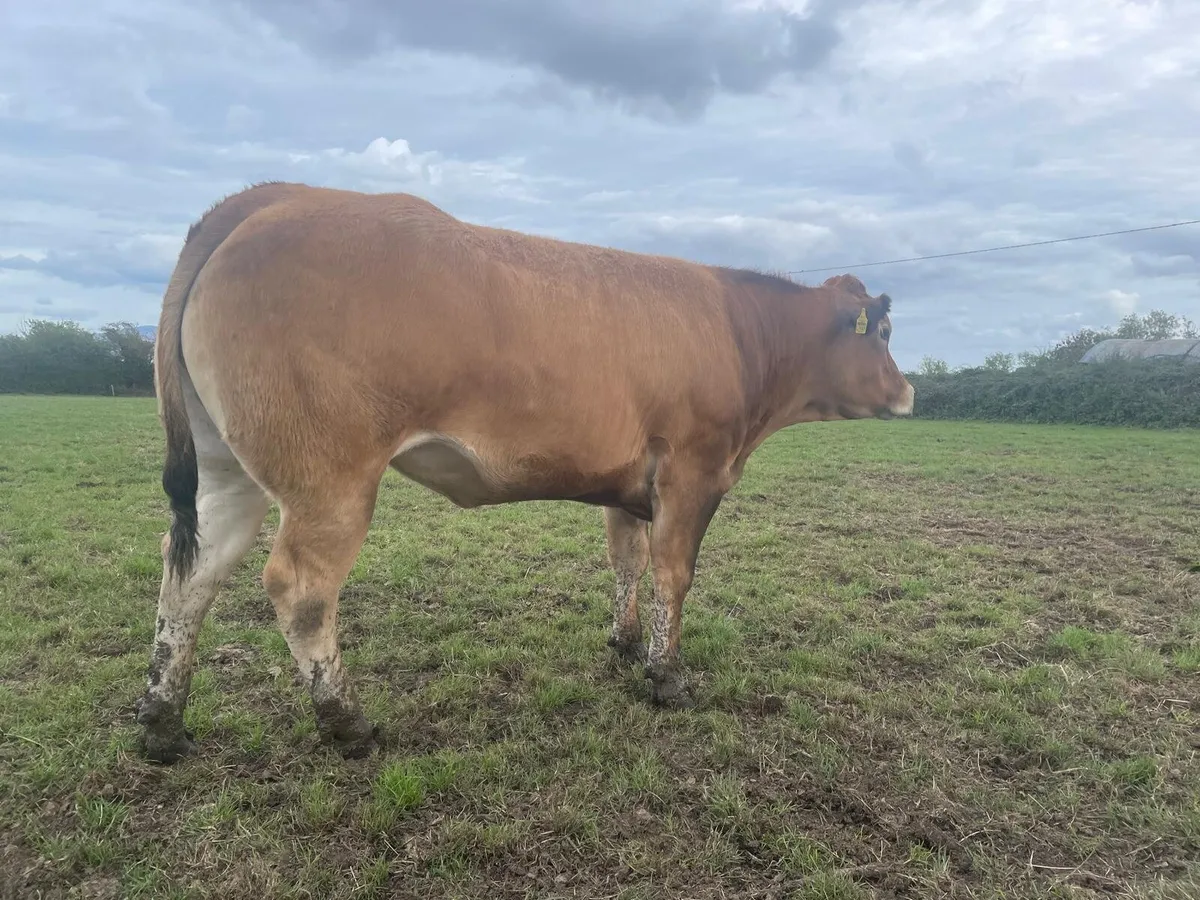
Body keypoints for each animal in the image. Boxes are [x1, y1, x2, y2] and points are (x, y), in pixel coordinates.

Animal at [135, 181, 914, 763]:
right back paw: (345, 719)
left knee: (190, 572)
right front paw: (666, 675)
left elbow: (627, 561)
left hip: (226, 469)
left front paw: (624, 642)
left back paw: (162, 721)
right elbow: (673, 573)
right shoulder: (694, 470)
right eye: (881, 332)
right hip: (331, 478)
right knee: (299, 589)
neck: (743, 331)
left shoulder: (630, 480)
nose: (909, 392)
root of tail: (276, 197)